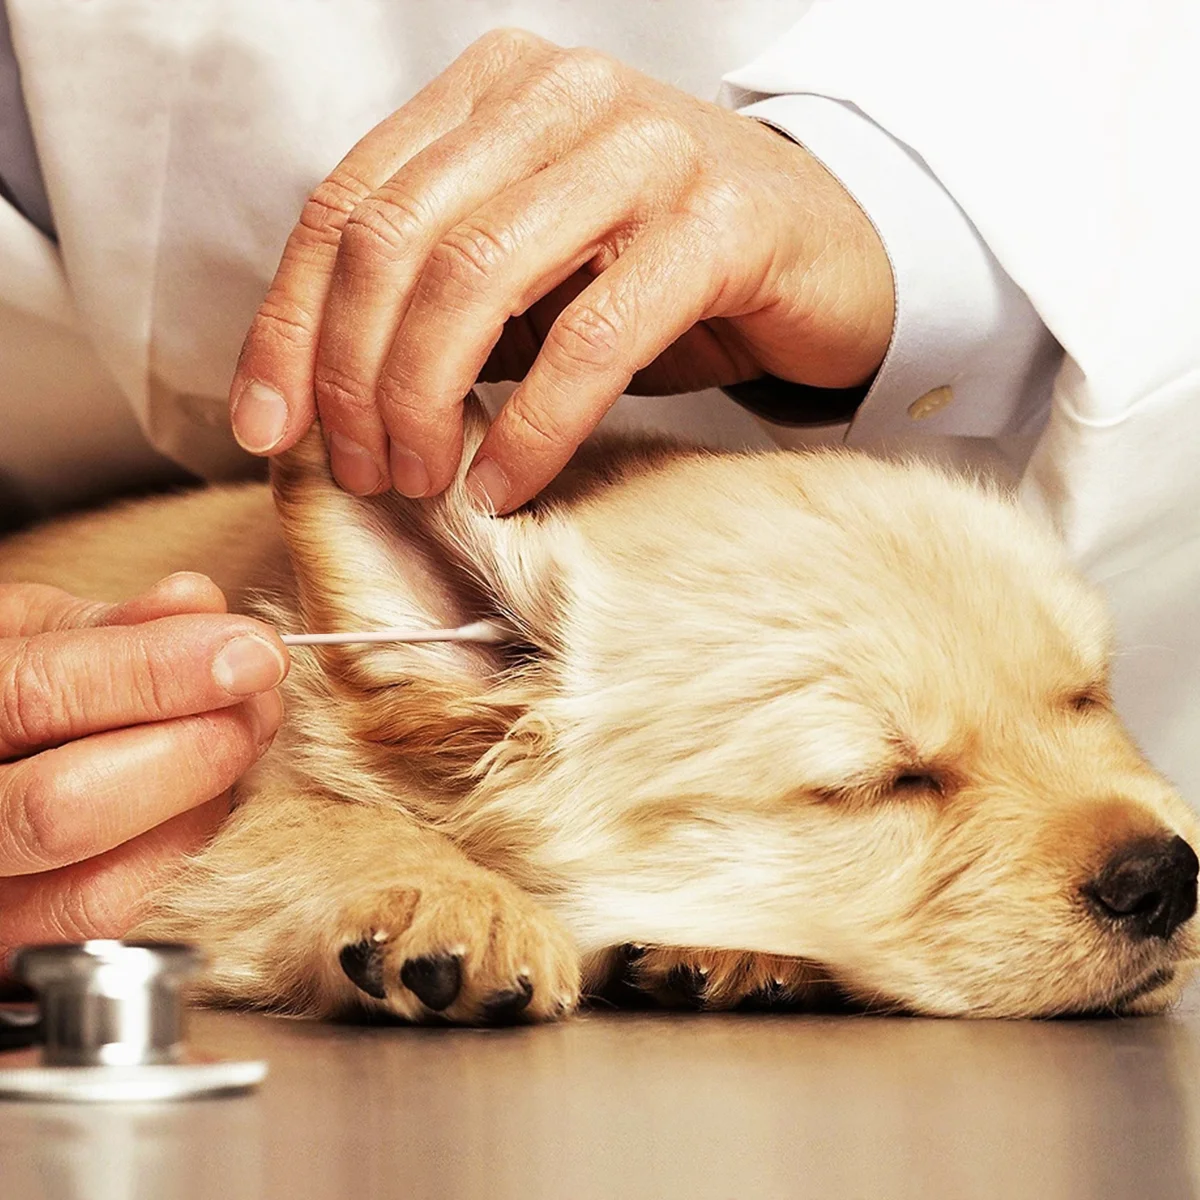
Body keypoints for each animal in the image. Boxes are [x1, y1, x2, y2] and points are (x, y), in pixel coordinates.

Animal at [0, 405, 1195, 1022]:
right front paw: (447, 899)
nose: (1166, 878)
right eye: (881, 785)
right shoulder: (233, 817)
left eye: (1087, 698)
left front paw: (733, 950)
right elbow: (318, 825)